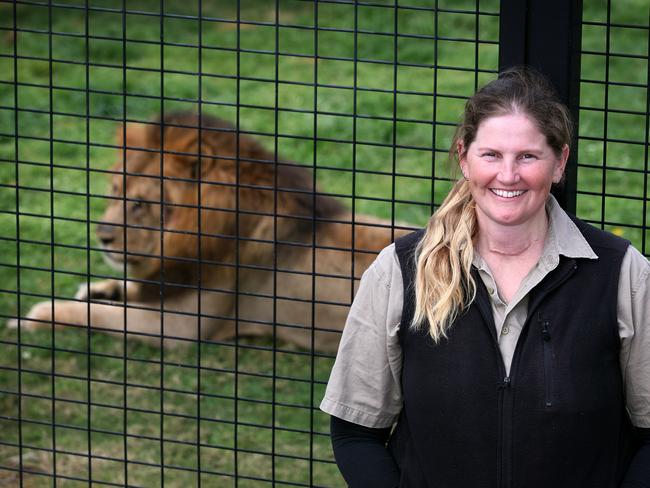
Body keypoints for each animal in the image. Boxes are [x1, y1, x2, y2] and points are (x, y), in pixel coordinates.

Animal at [11, 113, 410, 352]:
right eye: (113, 190)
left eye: (139, 203)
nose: (103, 236)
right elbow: (125, 290)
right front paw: (100, 289)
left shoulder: (182, 326)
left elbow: (99, 316)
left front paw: (37, 316)